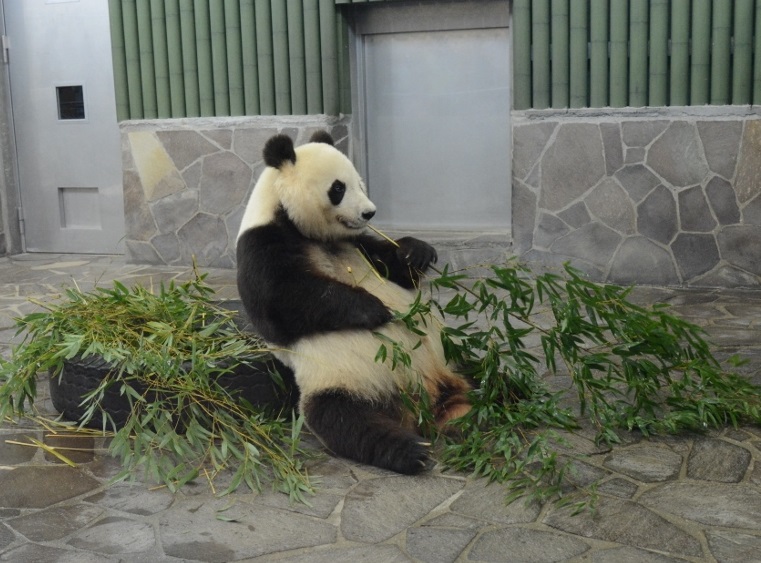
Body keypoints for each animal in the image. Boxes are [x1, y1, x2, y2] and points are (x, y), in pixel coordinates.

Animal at [236, 132, 470, 476]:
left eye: (360, 182)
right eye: (338, 188)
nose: (369, 213)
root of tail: (425, 402)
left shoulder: (358, 243)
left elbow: (394, 266)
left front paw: (416, 251)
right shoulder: (260, 244)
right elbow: (280, 302)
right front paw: (375, 309)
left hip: (451, 357)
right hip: (343, 381)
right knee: (347, 421)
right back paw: (412, 451)